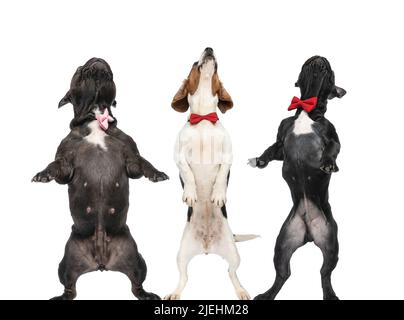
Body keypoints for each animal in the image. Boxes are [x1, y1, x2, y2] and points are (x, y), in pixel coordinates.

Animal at [32, 57, 169, 300]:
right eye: (79, 70)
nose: (96, 59)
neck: (96, 118)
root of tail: (101, 263)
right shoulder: (65, 165)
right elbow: (55, 166)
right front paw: (44, 174)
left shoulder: (132, 160)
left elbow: (144, 163)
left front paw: (156, 173)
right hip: (67, 261)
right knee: (70, 288)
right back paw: (61, 297)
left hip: (135, 257)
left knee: (136, 284)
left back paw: (146, 294)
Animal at [164, 47, 256, 300]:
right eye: (194, 63)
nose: (209, 48)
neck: (204, 118)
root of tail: (207, 247)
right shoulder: (178, 156)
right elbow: (188, 173)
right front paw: (191, 193)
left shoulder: (228, 154)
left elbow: (222, 175)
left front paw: (217, 195)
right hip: (181, 255)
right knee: (183, 278)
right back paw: (174, 292)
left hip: (234, 254)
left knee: (232, 274)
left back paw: (241, 290)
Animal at [249, 55, 348, 300]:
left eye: (331, 72)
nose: (320, 58)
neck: (305, 110)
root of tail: (310, 234)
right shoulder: (280, 142)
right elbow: (270, 149)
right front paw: (260, 160)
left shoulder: (333, 138)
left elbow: (331, 150)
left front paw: (328, 164)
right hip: (283, 243)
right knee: (283, 274)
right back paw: (267, 295)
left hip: (331, 242)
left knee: (324, 273)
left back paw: (330, 294)